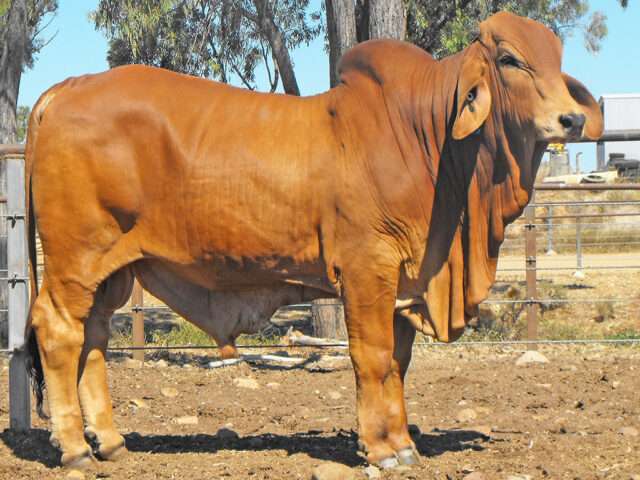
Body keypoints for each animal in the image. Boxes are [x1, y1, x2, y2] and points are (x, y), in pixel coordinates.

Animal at [24, 12, 602, 470]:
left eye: (556, 58)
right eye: (509, 59)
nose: (571, 119)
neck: (427, 137)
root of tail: (65, 88)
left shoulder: (403, 281)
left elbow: (398, 363)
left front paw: (402, 442)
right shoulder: (368, 269)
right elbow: (371, 358)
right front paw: (382, 450)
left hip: (113, 271)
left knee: (94, 338)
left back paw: (110, 442)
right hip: (76, 260)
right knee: (59, 332)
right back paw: (74, 449)